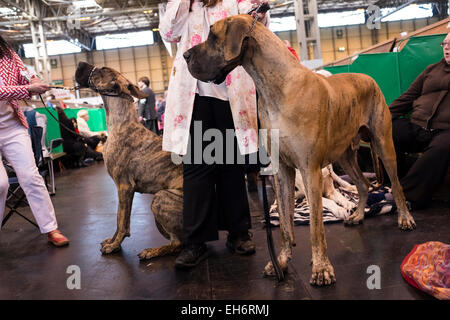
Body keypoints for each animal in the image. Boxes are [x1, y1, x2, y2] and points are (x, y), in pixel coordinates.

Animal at [74, 62, 184, 260]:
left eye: (103, 68)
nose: (80, 63)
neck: (121, 123)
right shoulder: (124, 188)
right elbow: (120, 219)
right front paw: (111, 241)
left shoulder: (124, 186)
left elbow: (121, 220)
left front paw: (114, 245)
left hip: (161, 197)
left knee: (178, 243)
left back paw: (152, 251)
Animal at [185, 14, 416, 288]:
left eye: (212, 36)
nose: (185, 54)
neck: (275, 86)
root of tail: (367, 77)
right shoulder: (283, 171)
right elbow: (285, 225)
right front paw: (281, 261)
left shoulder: (309, 169)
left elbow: (316, 227)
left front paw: (321, 269)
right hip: (345, 156)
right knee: (363, 184)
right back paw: (358, 215)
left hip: (383, 143)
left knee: (397, 184)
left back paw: (404, 218)